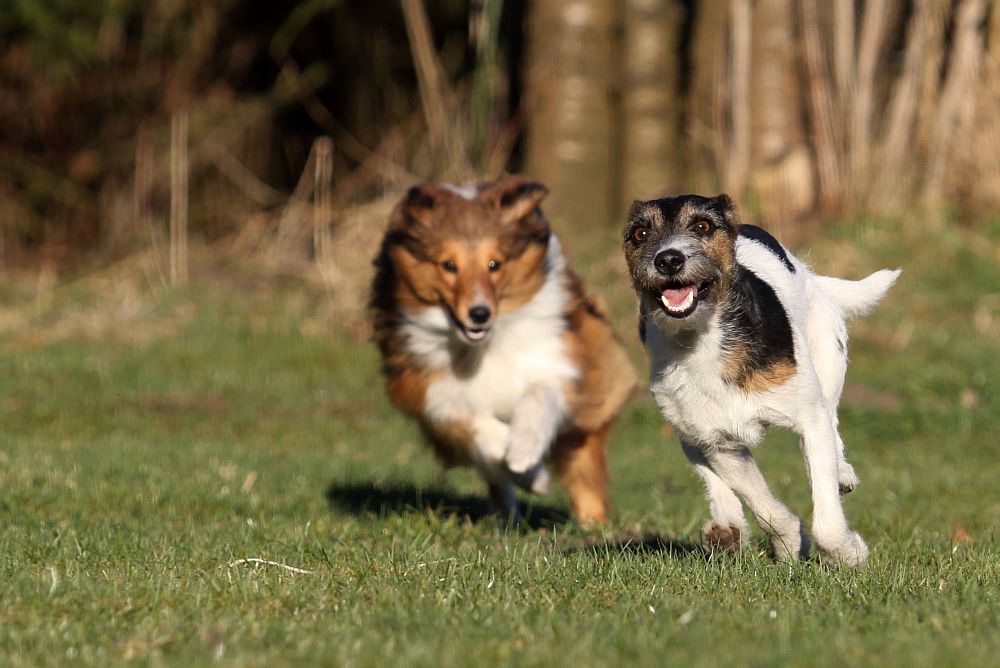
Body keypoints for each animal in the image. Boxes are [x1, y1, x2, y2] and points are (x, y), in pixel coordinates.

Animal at [372, 175, 636, 524]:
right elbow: (477, 427)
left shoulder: (558, 362)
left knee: (585, 471)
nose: (479, 313)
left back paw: (592, 524)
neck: (483, 346)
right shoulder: (430, 390)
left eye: (494, 264)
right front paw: (532, 475)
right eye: (449, 265)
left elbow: (538, 395)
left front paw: (524, 450)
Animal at [624, 193, 900, 564]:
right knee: (712, 477)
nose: (668, 259)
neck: (703, 340)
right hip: (684, 428)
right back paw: (726, 529)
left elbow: (826, 519)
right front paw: (789, 541)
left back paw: (841, 472)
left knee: (832, 421)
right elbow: (761, 502)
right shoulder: (720, 444)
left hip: (827, 358)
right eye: (640, 233)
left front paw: (848, 553)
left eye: (702, 226)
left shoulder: (810, 419)